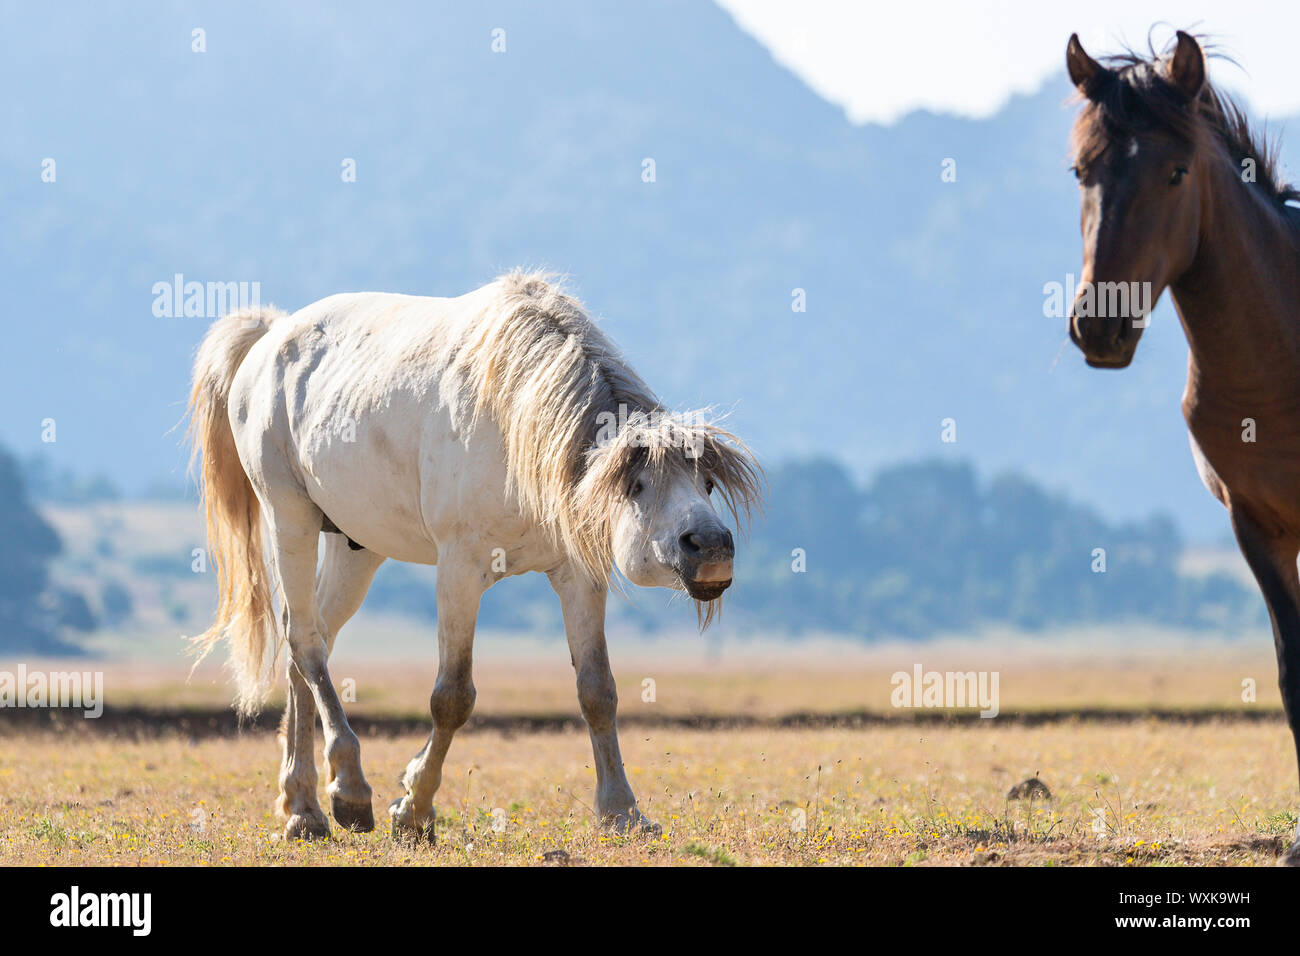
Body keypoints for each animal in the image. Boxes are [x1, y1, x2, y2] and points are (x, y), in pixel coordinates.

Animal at [187, 271, 762, 842]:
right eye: (636, 486)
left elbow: (597, 692)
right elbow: (452, 696)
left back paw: (302, 805)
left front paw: (623, 812)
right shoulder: (459, 570)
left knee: (307, 643)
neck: (518, 427)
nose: (711, 547)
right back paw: (346, 791)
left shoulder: (577, 577)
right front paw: (413, 809)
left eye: (708, 484)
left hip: (356, 548)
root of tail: (271, 335)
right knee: (306, 643)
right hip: (291, 517)